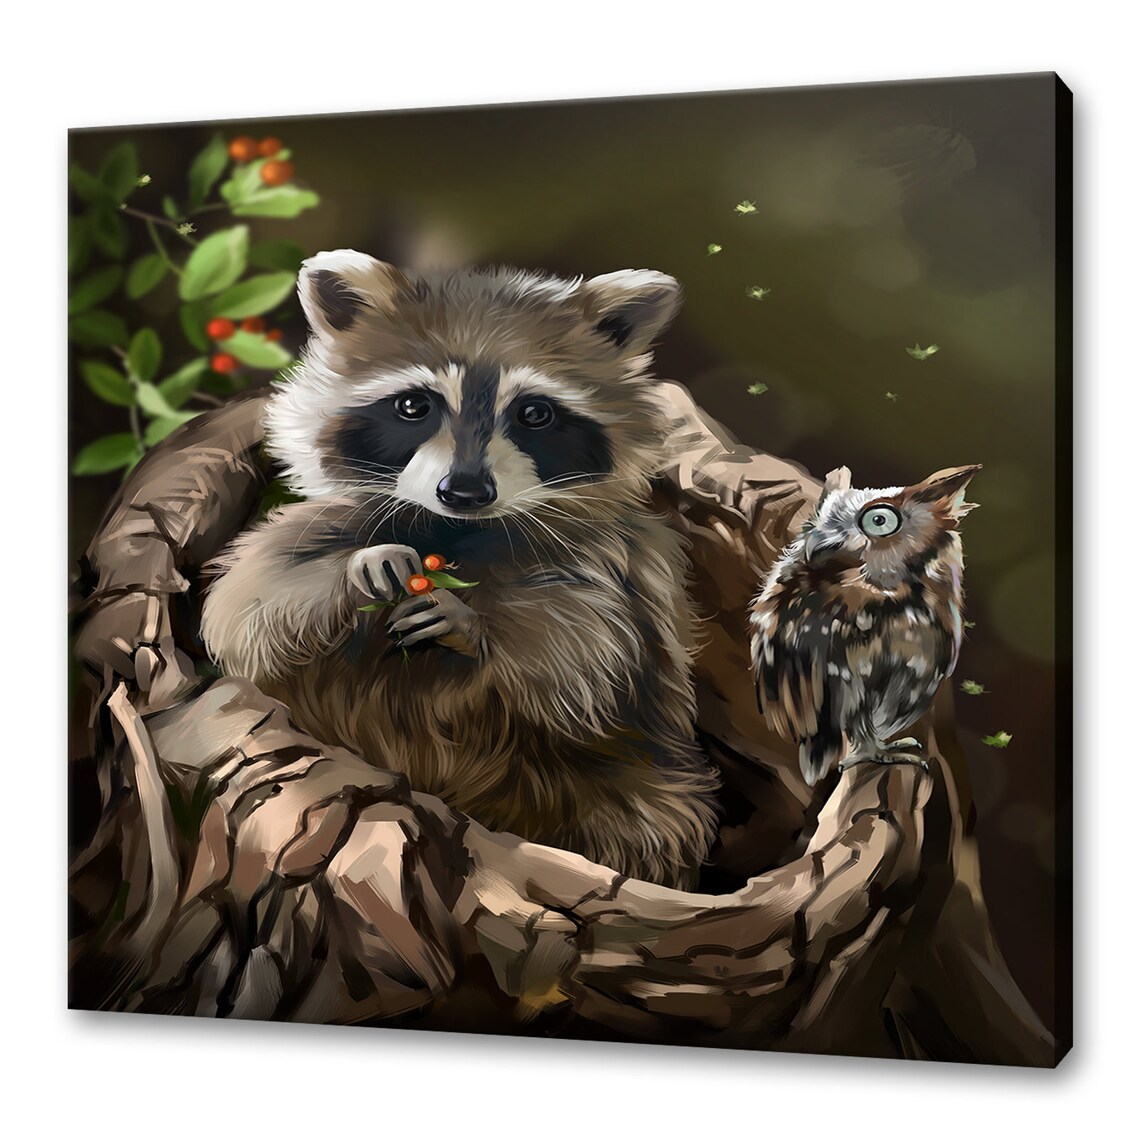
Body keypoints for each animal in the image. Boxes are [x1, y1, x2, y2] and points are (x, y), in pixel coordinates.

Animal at [200, 251, 720, 888]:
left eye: (535, 413)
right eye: (413, 406)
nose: (465, 491)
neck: (455, 533)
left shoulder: (621, 563)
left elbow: (590, 669)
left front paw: (470, 624)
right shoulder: (318, 527)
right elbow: (247, 608)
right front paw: (357, 568)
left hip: (630, 789)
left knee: (645, 824)